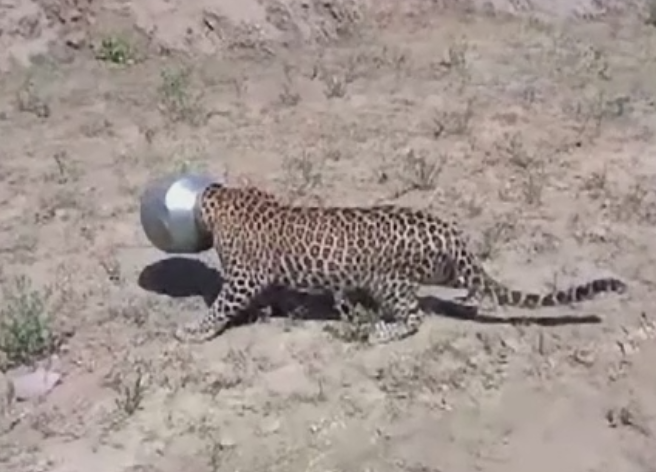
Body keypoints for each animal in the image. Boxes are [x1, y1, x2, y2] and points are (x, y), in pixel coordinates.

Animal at [174, 183, 627, 344]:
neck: (222, 198)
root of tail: (448, 231)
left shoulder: (243, 277)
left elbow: (221, 305)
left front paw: (195, 331)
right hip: (435, 270)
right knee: (467, 284)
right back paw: (469, 295)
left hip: (387, 280)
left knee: (414, 316)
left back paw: (379, 331)